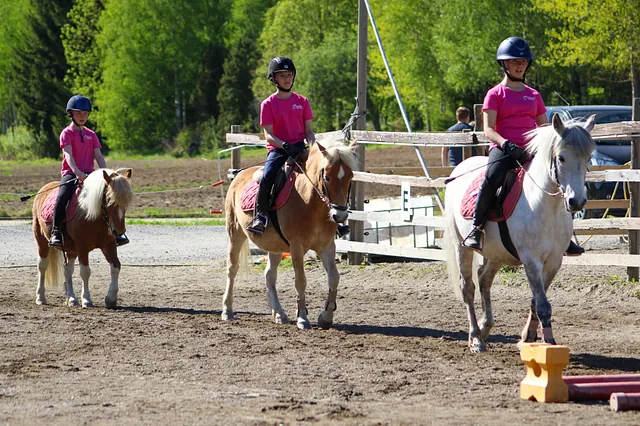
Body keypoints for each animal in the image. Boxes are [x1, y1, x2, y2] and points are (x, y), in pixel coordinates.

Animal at [32, 168, 134, 308]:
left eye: (127, 201)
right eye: (109, 200)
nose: (119, 231)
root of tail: (44, 188)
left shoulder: (109, 245)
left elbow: (116, 266)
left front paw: (111, 298)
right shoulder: (82, 247)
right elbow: (85, 271)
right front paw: (86, 299)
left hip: (71, 248)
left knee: (67, 269)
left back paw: (71, 299)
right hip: (41, 240)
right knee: (42, 266)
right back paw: (40, 297)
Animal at [222, 140, 358, 330]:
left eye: (350, 177)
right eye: (327, 177)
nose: (340, 216)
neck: (310, 202)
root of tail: (238, 176)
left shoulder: (327, 246)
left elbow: (334, 278)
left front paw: (326, 316)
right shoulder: (296, 247)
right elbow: (300, 281)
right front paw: (302, 317)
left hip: (275, 246)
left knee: (269, 275)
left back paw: (279, 313)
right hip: (235, 233)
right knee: (232, 269)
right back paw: (227, 310)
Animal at [444, 114, 596, 352]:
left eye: (589, 158)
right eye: (561, 158)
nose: (576, 202)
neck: (545, 206)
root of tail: (460, 169)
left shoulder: (554, 261)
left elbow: (536, 300)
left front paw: (529, 337)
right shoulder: (531, 259)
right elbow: (542, 304)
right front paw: (548, 342)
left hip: (497, 253)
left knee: (484, 280)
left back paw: (485, 328)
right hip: (461, 246)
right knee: (467, 287)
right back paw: (476, 337)